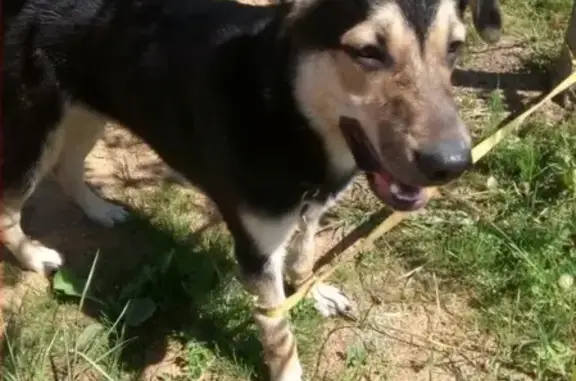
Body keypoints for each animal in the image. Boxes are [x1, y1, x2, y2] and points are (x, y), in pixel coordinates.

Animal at [2, 0, 500, 378]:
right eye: (367, 51)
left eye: (455, 48)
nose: (452, 164)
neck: (283, 109)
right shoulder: (257, 253)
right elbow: (279, 332)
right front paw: (289, 370)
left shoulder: (310, 208)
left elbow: (304, 256)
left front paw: (314, 290)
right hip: (34, 131)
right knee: (10, 208)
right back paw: (32, 256)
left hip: (89, 110)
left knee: (68, 169)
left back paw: (99, 209)